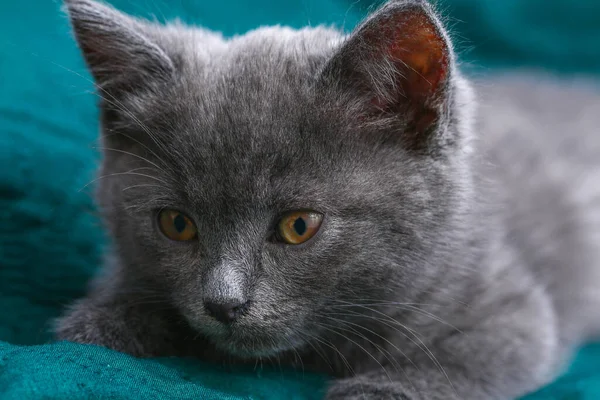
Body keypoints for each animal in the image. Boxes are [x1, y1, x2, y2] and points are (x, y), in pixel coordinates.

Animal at [56, 0, 600, 398]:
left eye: (299, 225)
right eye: (176, 223)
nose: (224, 304)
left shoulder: (511, 309)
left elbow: (472, 360)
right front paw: (105, 322)